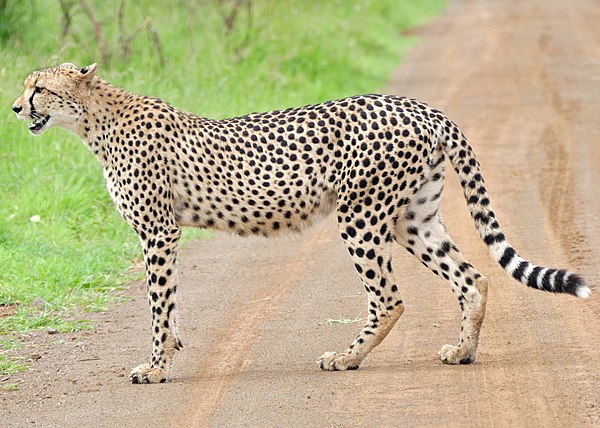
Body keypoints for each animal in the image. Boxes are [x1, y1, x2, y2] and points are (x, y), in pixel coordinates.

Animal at [11, 63, 588, 384]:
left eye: (39, 88)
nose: (15, 108)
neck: (93, 120)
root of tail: (417, 105)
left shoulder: (158, 231)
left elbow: (159, 305)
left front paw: (154, 367)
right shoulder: (165, 234)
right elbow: (168, 303)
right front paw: (169, 354)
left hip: (360, 216)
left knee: (390, 297)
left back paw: (345, 358)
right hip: (412, 217)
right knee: (472, 277)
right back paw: (462, 352)